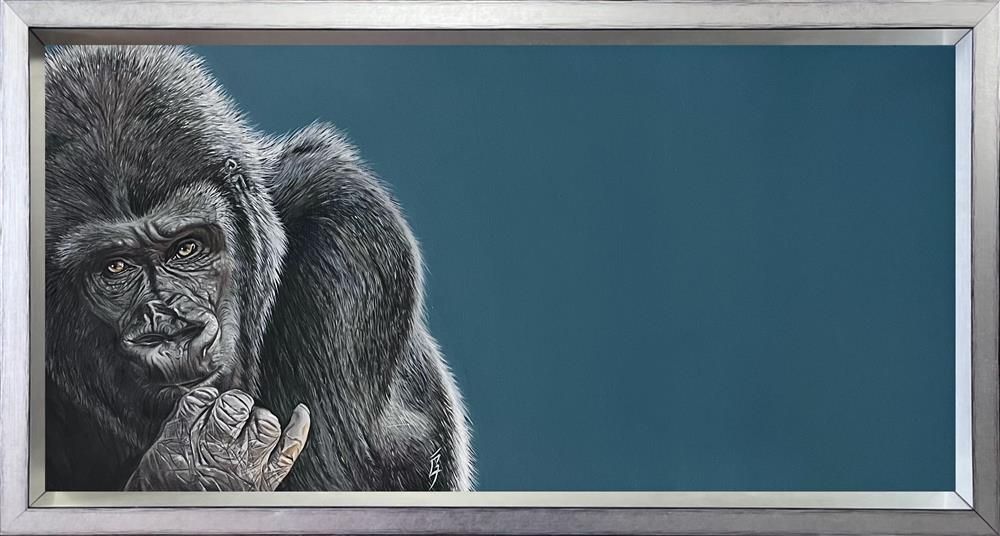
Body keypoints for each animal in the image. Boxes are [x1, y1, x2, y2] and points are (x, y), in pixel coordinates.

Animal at [43, 45, 473, 492]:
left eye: (187, 248)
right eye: (115, 267)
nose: (173, 333)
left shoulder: (351, 231)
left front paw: (206, 463)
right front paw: (197, 466)